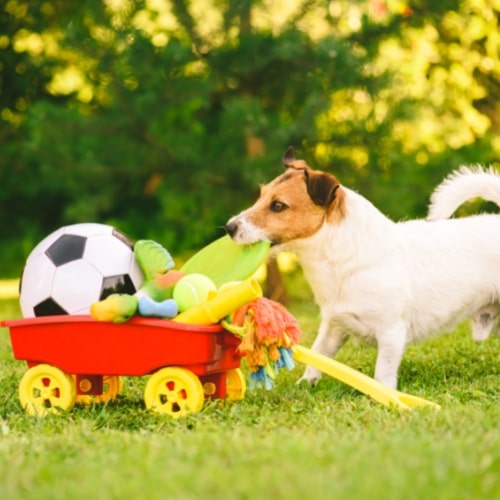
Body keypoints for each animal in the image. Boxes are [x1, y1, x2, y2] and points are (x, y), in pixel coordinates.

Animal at [228, 148, 500, 390]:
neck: (343, 259)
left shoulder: (391, 333)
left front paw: (386, 396)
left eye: (278, 206)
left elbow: (383, 372)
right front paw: (306, 383)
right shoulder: (333, 327)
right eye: (260, 196)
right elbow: (319, 353)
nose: (230, 227)